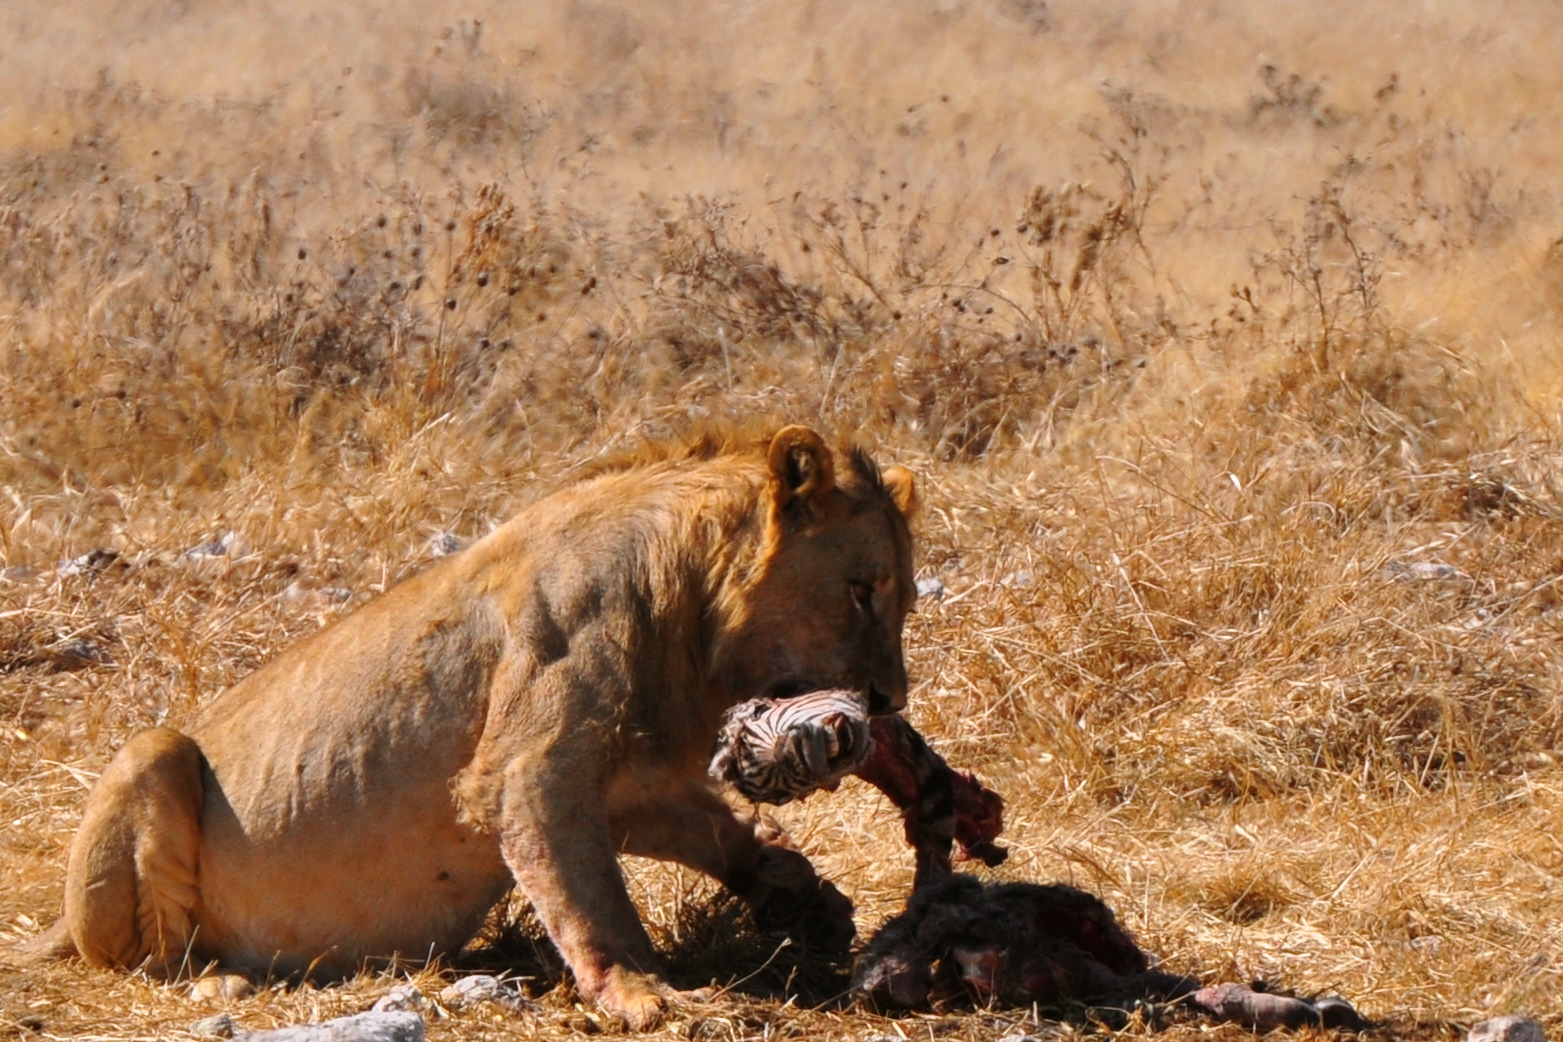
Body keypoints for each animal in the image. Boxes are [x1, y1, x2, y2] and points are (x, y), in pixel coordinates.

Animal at [18, 424, 919, 1024]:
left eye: (902, 598)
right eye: (861, 592)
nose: (888, 702)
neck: (690, 608)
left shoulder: (628, 779)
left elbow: (717, 829)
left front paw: (798, 892)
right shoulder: (530, 768)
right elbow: (593, 902)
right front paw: (649, 994)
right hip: (153, 752)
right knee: (148, 960)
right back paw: (217, 982)